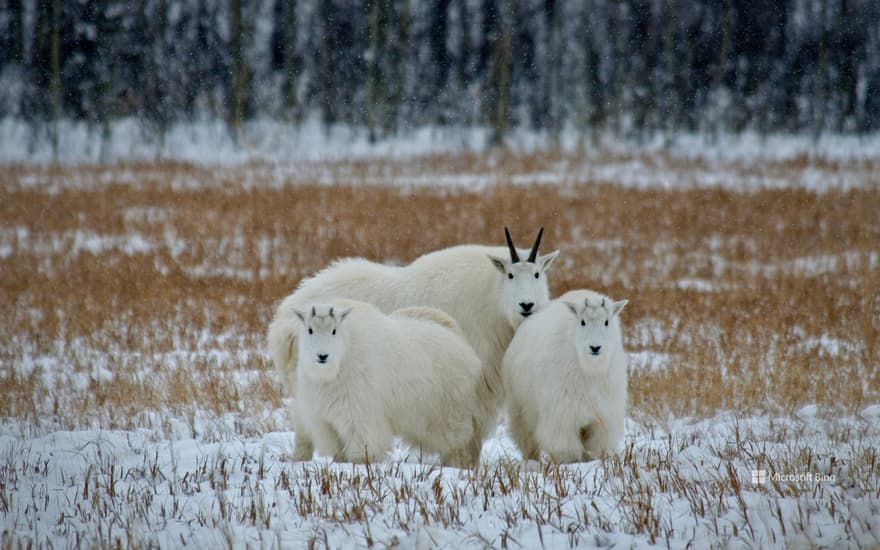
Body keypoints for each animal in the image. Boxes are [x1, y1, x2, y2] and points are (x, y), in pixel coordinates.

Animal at [296, 300, 484, 468]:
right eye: (310, 330)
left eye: (334, 330)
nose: (322, 356)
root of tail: (459, 339)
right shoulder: (325, 420)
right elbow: (336, 448)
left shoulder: (361, 412)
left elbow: (363, 444)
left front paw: (361, 463)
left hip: (450, 413)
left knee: (458, 442)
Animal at [502, 292, 624, 464]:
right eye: (582, 322)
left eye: (606, 322)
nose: (595, 347)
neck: (589, 369)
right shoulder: (562, 412)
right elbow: (566, 448)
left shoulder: (603, 416)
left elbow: (597, 446)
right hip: (520, 409)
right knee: (527, 439)